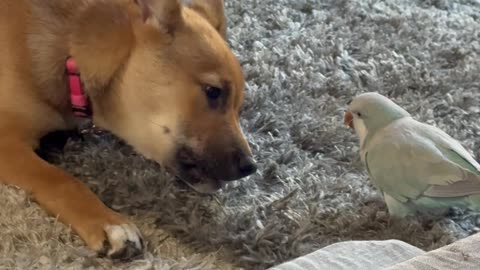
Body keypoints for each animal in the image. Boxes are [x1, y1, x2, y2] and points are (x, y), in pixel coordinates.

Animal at [0, 0, 256, 260]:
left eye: (239, 107)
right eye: (213, 91)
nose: (251, 167)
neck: (71, 54)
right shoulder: (6, 140)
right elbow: (60, 179)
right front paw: (109, 223)